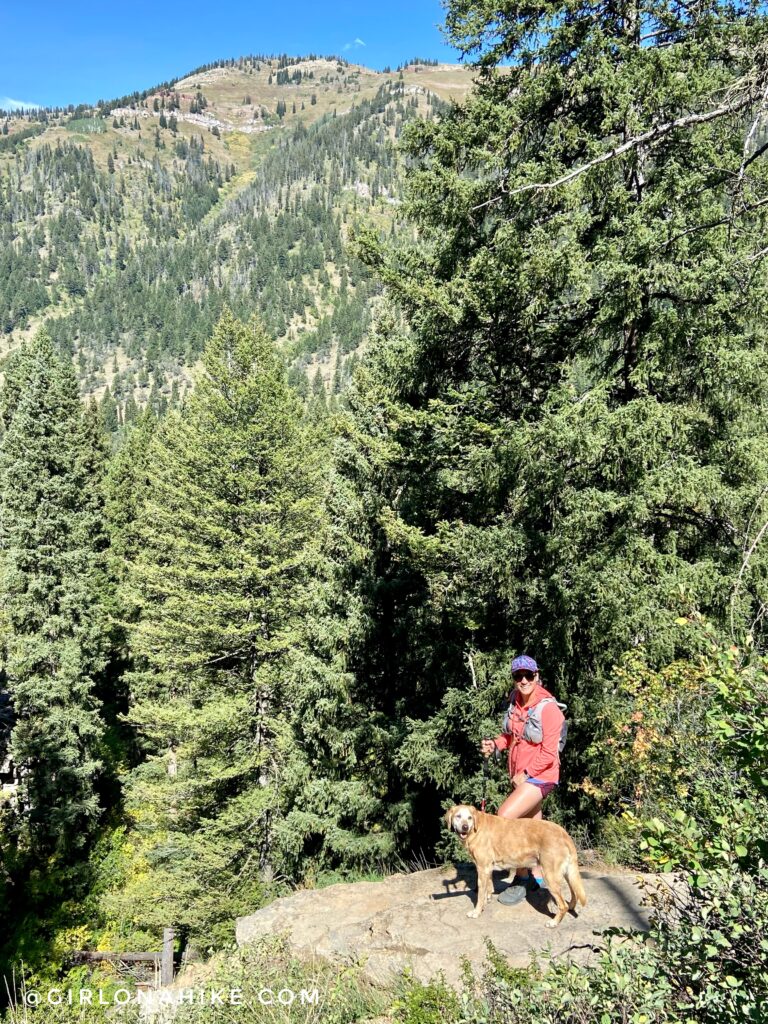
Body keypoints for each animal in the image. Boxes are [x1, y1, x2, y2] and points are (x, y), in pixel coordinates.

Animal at [444, 802, 589, 933]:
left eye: (469, 818)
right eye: (458, 816)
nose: (465, 827)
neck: (476, 828)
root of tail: (564, 833)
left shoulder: (482, 868)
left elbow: (480, 894)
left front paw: (477, 911)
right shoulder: (487, 868)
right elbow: (488, 887)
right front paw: (488, 898)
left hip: (549, 876)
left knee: (562, 905)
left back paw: (554, 922)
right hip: (567, 873)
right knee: (574, 893)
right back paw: (571, 907)